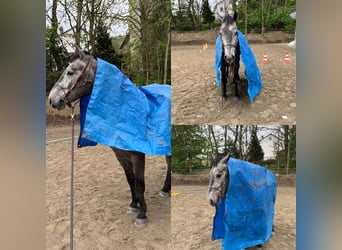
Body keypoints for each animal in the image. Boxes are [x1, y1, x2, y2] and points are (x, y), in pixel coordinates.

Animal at [48, 49, 171, 227]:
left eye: (70, 72)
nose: (51, 99)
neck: (124, 111)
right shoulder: (120, 155)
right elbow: (130, 180)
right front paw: (133, 205)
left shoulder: (137, 156)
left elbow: (139, 183)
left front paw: (142, 214)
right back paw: (166, 189)